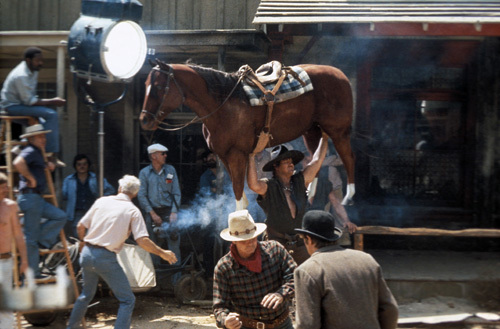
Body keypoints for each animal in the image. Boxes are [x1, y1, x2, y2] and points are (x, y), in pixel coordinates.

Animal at [139, 60, 354, 206]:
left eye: (159, 86)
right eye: (145, 85)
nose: (144, 120)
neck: (222, 103)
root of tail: (341, 75)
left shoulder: (237, 154)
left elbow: (238, 194)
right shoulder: (224, 156)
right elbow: (241, 196)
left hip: (338, 131)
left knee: (348, 158)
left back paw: (348, 196)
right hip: (311, 131)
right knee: (317, 158)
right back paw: (310, 193)